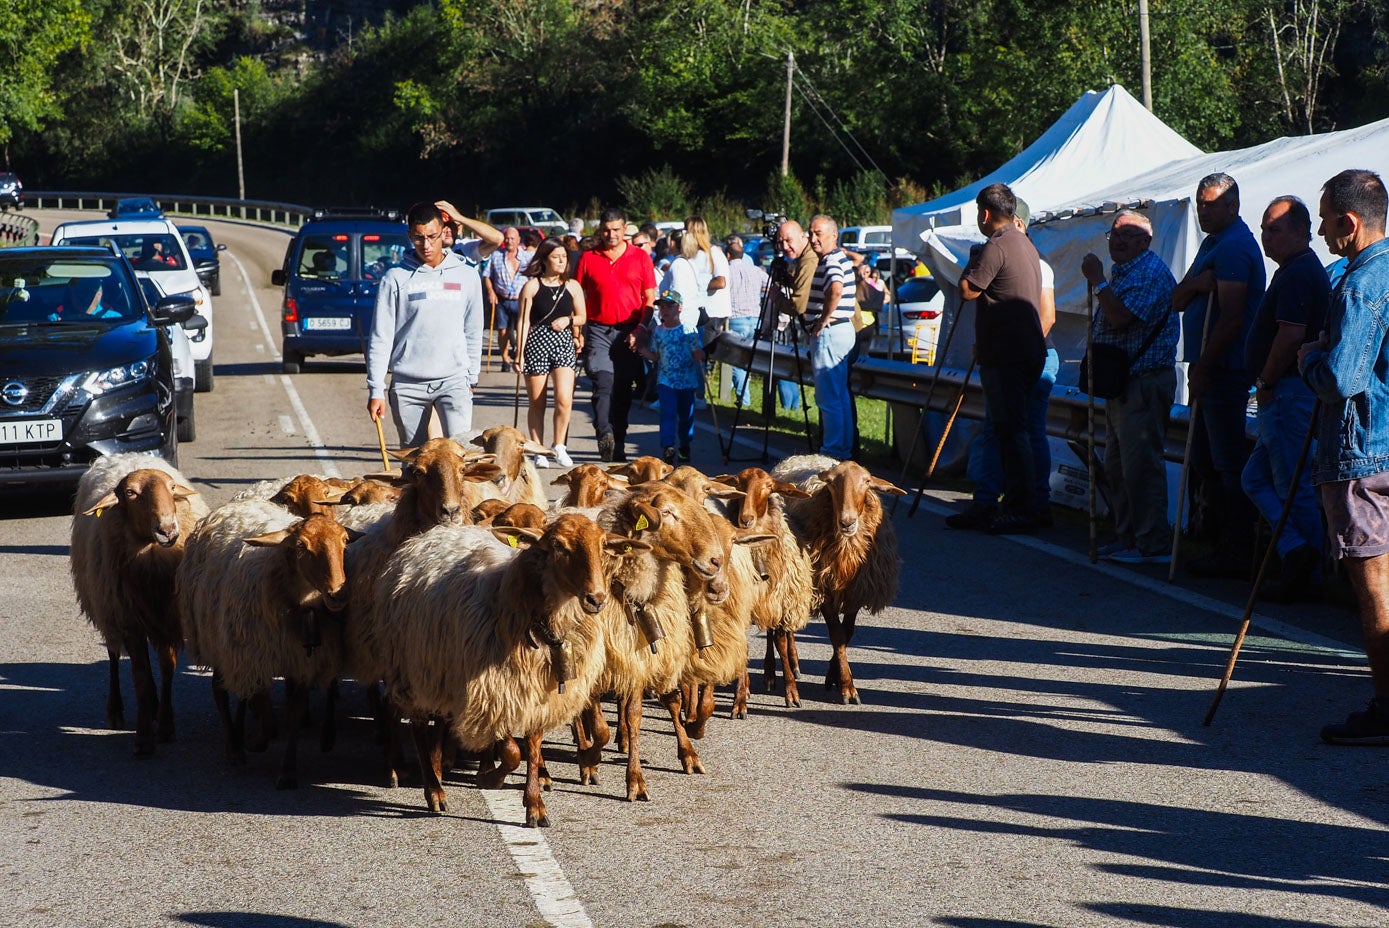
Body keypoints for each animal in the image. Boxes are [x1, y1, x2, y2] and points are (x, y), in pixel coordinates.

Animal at [69, 455, 206, 755]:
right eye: (131, 494)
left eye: (171, 487)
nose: (167, 530)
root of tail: (123, 456)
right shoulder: (128, 620)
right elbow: (140, 676)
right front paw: (143, 739)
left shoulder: (169, 617)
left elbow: (167, 667)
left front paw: (165, 725)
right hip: (108, 609)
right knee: (113, 655)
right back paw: (116, 710)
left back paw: (154, 707)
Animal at [176, 500, 361, 789]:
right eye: (301, 546)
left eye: (344, 542)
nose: (338, 595)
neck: (302, 603)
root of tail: (234, 505)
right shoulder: (253, 657)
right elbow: (263, 705)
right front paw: (257, 742)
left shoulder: (302, 661)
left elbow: (293, 713)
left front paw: (288, 771)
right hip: (218, 640)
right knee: (219, 690)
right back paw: (234, 747)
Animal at [375, 514, 644, 827]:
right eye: (557, 545)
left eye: (602, 545)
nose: (596, 598)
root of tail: (425, 537)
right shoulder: (497, 690)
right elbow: (513, 752)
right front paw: (490, 779)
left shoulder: (537, 690)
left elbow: (533, 745)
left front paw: (535, 803)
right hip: (413, 667)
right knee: (417, 725)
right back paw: (434, 790)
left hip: (443, 671)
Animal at [766, 455, 905, 702]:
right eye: (830, 483)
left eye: (867, 482)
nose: (847, 522)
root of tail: (799, 457)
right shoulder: (824, 588)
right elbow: (837, 634)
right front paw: (848, 687)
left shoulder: (857, 591)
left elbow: (847, 633)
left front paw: (834, 676)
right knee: (775, 626)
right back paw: (772, 674)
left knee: (788, 626)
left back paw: (794, 664)